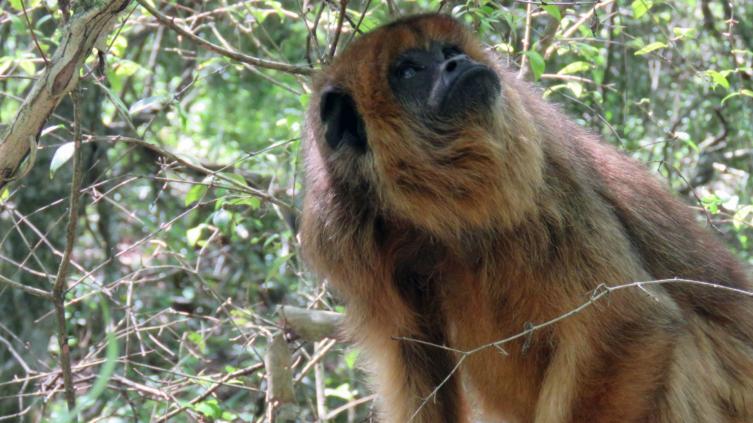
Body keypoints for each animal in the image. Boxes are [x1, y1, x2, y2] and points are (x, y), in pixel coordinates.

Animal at [300, 14, 753, 423]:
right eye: (409, 71)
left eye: (448, 51)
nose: (458, 62)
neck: (426, 210)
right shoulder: (337, 234)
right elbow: (415, 354)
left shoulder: (538, 168)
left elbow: (627, 318)